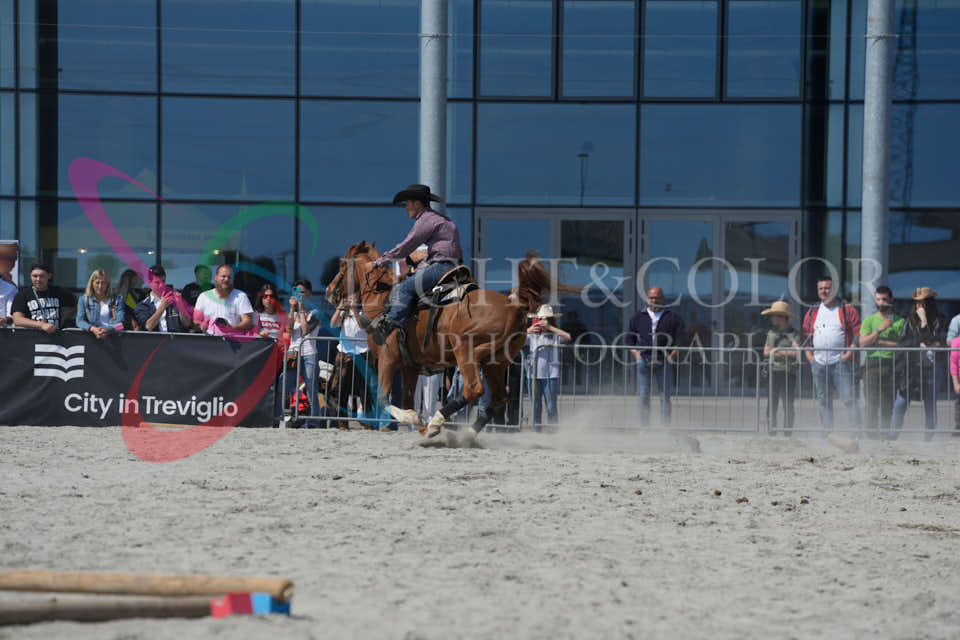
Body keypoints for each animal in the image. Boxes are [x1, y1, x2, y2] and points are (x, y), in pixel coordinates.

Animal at [325, 241, 548, 446]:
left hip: (466, 352)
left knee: (473, 389)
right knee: (499, 398)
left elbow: (382, 397)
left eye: (343, 266)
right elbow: (407, 400)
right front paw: (422, 427)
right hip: (497, 364)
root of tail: (515, 308)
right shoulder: (410, 367)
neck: (382, 303)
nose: (329, 291)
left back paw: (438, 420)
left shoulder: (387, 360)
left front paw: (418, 421)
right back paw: (465, 434)